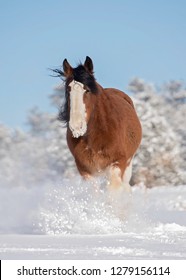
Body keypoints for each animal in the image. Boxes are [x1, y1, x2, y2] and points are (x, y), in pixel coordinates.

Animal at [54, 56, 142, 190]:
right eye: (68, 90)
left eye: (87, 90)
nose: (77, 127)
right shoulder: (86, 170)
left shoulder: (117, 163)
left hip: (127, 164)